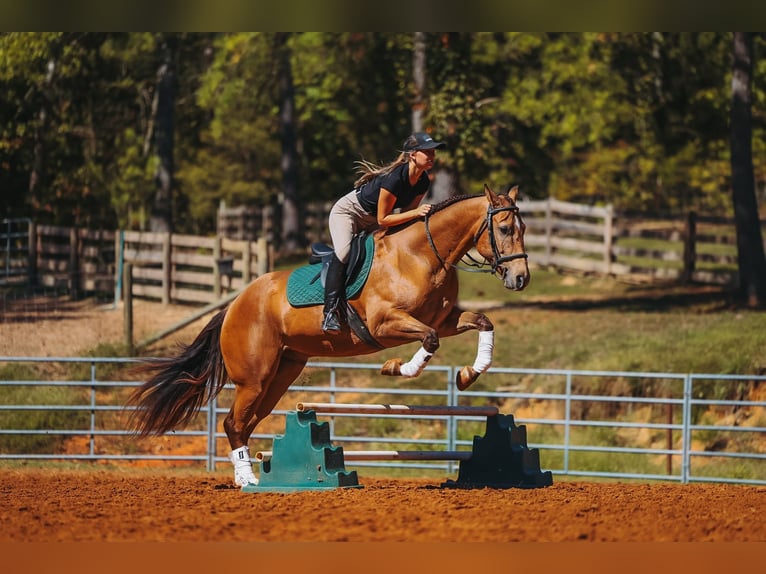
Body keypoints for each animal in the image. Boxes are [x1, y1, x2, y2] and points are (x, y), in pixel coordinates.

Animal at [127, 184, 530, 487]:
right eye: (505, 229)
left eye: (523, 229)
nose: (521, 278)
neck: (422, 254)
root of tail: (234, 304)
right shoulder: (386, 324)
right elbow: (429, 340)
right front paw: (395, 367)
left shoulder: (445, 319)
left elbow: (482, 322)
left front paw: (468, 374)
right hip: (254, 377)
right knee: (233, 423)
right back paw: (248, 480)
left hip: (281, 373)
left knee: (248, 422)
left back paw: (260, 473)